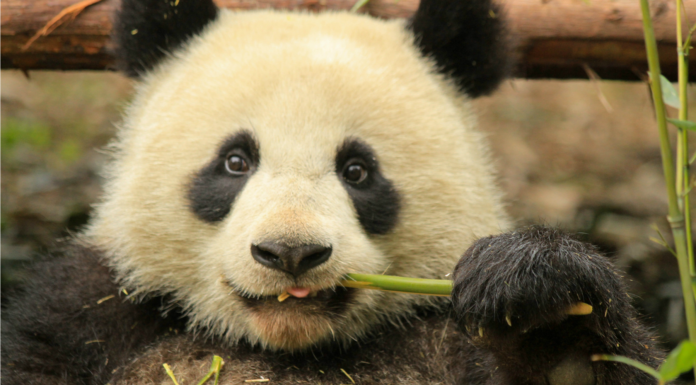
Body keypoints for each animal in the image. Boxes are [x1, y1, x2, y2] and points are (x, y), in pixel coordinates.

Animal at [0, 0, 664, 382]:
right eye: (235, 161)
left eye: (358, 171)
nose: (290, 253)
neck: (289, 346)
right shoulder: (87, 318)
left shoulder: (438, 334)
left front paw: (538, 300)